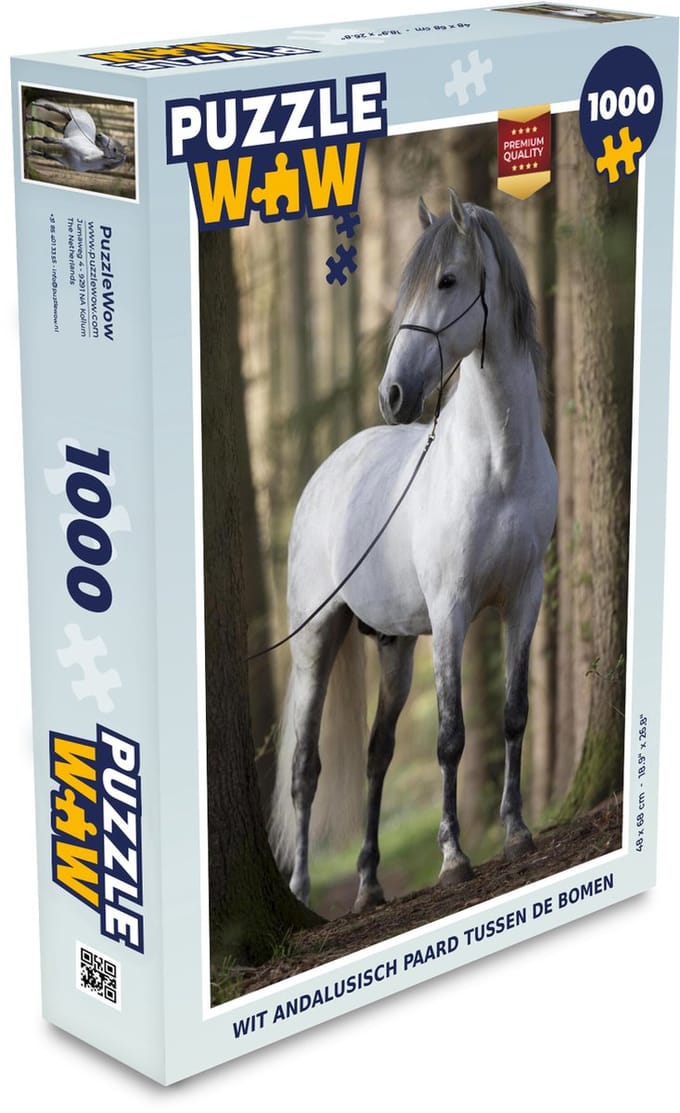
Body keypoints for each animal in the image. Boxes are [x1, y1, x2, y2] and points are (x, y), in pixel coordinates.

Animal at [270, 189, 558, 913]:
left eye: (447, 280)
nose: (393, 395)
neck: (498, 465)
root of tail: (326, 474)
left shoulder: (525, 599)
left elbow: (513, 715)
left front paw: (517, 832)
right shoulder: (451, 613)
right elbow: (451, 736)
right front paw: (454, 858)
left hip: (394, 645)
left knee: (377, 752)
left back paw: (370, 883)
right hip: (317, 641)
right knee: (306, 768)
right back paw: (303, 890)